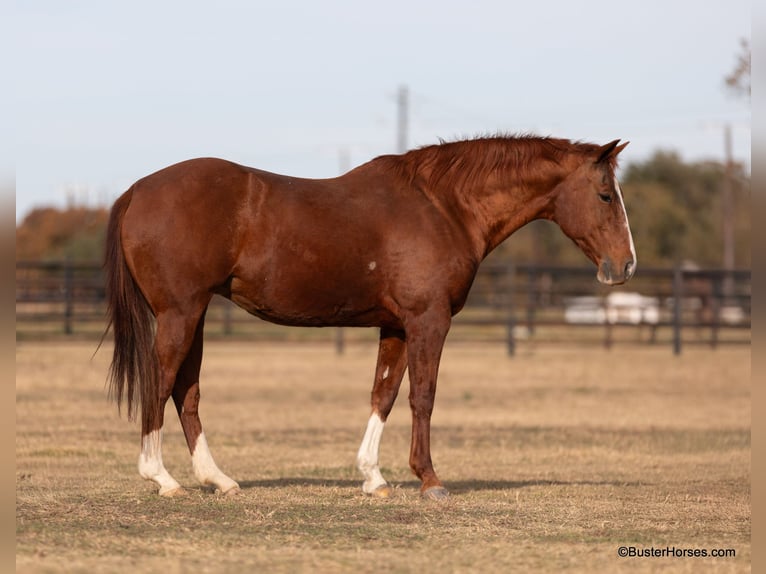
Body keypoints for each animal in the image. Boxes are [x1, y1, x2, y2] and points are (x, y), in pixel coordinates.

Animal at [104, 135, 635, 500]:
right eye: (606, 195)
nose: (625, 265)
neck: (443, 206)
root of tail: (136, 190)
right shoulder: (428, 321)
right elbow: (423, 396)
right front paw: (430, 480)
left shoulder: (397, 325)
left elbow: (384, 394)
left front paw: (373, 477)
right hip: (180, 313)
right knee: (160, 384)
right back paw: (162, 478)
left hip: (193, 315)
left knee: (186, 392)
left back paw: (218, 478)